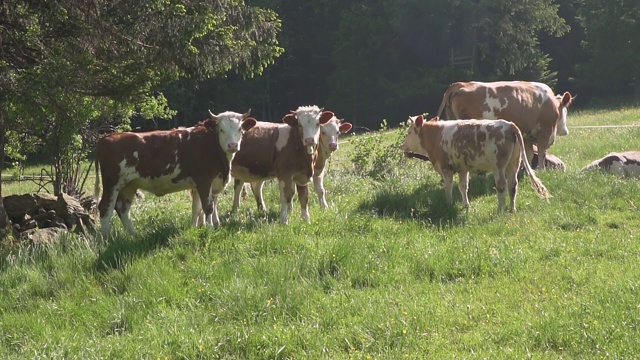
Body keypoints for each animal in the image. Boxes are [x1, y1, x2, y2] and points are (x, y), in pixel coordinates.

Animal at [94, 109, 256, 239]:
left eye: (240, 129)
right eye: (221, 130)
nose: (232, 145)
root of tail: (106, 138)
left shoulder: (201, 184)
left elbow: (197, 208)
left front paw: (194, 228)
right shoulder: (204, 180)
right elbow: (208, 207)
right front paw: (209, 228)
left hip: (129, 185)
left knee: (123, 209)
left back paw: (134, 236)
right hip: (112, 183)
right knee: (105, 208)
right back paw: (107, 240)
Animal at [400, 114, 552, 211]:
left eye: (409, 132)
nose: (402, 146)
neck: (436, 136)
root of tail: (509, 125)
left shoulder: (446, 168)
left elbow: (448, 187)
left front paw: (448, 204)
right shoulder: (462, 169)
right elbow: (463, 187)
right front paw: (466, 206)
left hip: (499, 166)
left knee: (502, 186)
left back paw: (501, 209)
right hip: (513, 164)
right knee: (513, 185)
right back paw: (512, 209)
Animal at [436, 81, 576, 170]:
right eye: (565, 111)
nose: (566, 131)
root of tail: (460, 84)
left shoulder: (527, 136)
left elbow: (528, 155)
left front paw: (526, 171)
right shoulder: (545, 132)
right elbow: (541, 153)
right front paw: (541, 171)